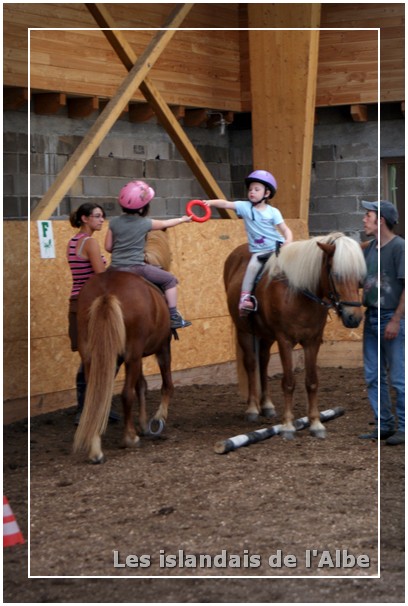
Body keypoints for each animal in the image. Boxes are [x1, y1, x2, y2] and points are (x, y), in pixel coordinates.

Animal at [74, 230, 173, 464]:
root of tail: (107, 292)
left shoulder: (133, 355)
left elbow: (142, 386)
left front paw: (144, 424)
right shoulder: (161, 347)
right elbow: (165, 385)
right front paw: (157, 419)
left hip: (94, 356)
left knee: (95, 397)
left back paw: (95, 448)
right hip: (133, 355)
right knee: (125, 394)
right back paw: (129, 438)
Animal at [223, 234, 366, 442]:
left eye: (359, 277)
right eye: (337, 274)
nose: (354, 318)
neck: (299, 294)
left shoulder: (313, 341)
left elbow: (312, 381)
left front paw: (316, 423)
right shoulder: (285, 341)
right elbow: (289, 383)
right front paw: (288, 426)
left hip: (266, 335)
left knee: (263, 361)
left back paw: (266, 405)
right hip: (245, 331)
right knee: (250, 363)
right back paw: (252, 408)